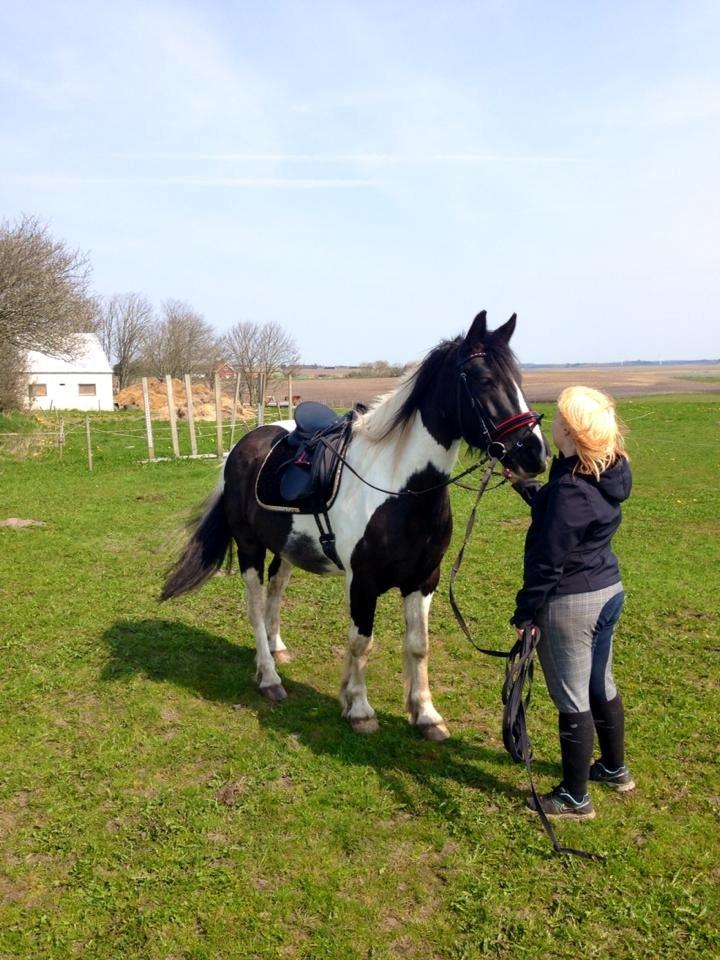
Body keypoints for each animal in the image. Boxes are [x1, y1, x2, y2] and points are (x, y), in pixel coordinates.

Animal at [162, 312, 544, 740]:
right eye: (483, 379)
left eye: (519, 380)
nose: (535, 453)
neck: (401, 489)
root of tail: (243, 445)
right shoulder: (363, 582)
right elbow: (362, 643)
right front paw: (359, 709)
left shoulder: (424, 580)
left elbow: (418, 645)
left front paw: (426, 714)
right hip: (249, 546)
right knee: (256, 605)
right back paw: (269, 676)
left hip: (286, 547)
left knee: (276, 592)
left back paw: (278, 649)